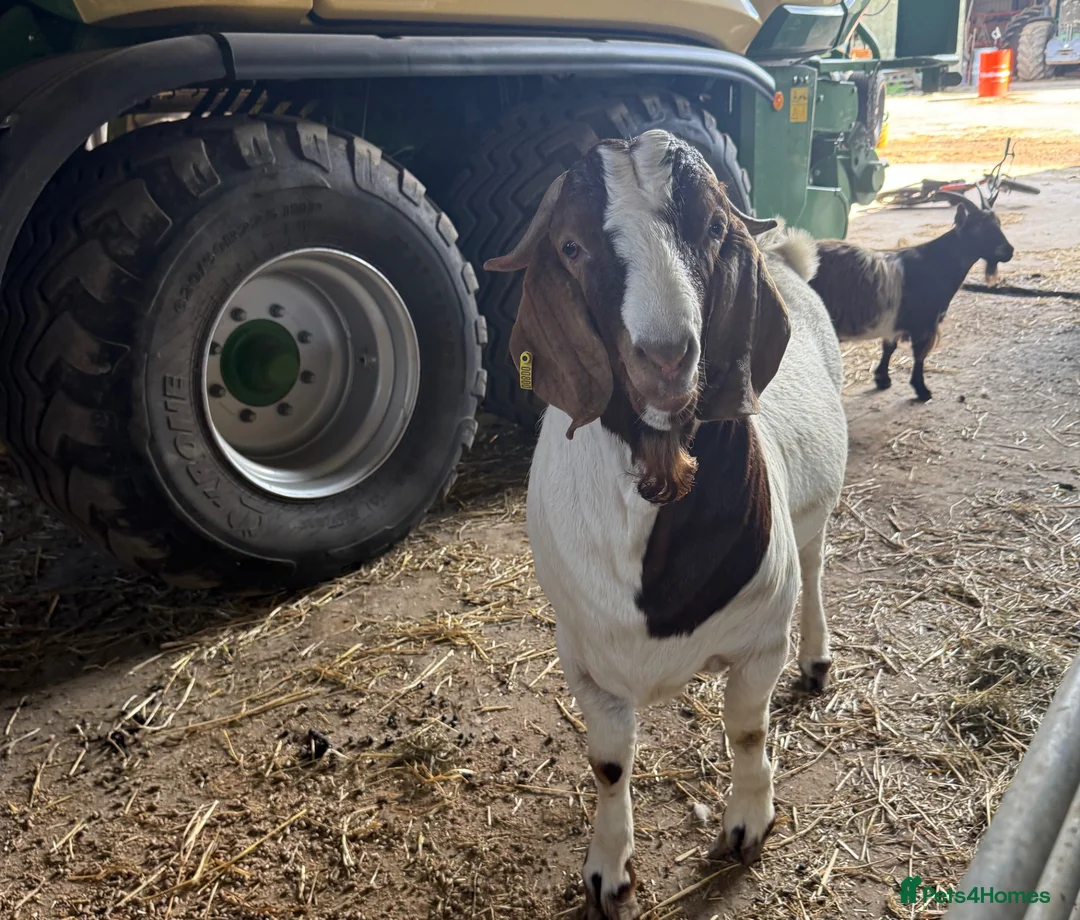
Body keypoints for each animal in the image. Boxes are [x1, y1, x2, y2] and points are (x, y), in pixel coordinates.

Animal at [484, 130, 848, 920]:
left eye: (711, 228)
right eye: (571, 247)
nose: (666, 357)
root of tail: (789, 261)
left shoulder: (756, 644)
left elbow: (747, 730)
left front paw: (746, 825)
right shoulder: (586, 665)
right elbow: (609, 764)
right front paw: (608, 870)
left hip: (813, 522)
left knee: (814, 572)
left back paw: (818, 659)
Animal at [809, 192, 1015, 402]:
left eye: (998, 223)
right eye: (978, 227)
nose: (1009, 251)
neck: (936, 262)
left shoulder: (896, 322)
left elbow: (889, 347)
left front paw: (883, 379)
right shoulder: (925, 323)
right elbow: (919, 356)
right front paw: (922, 390)